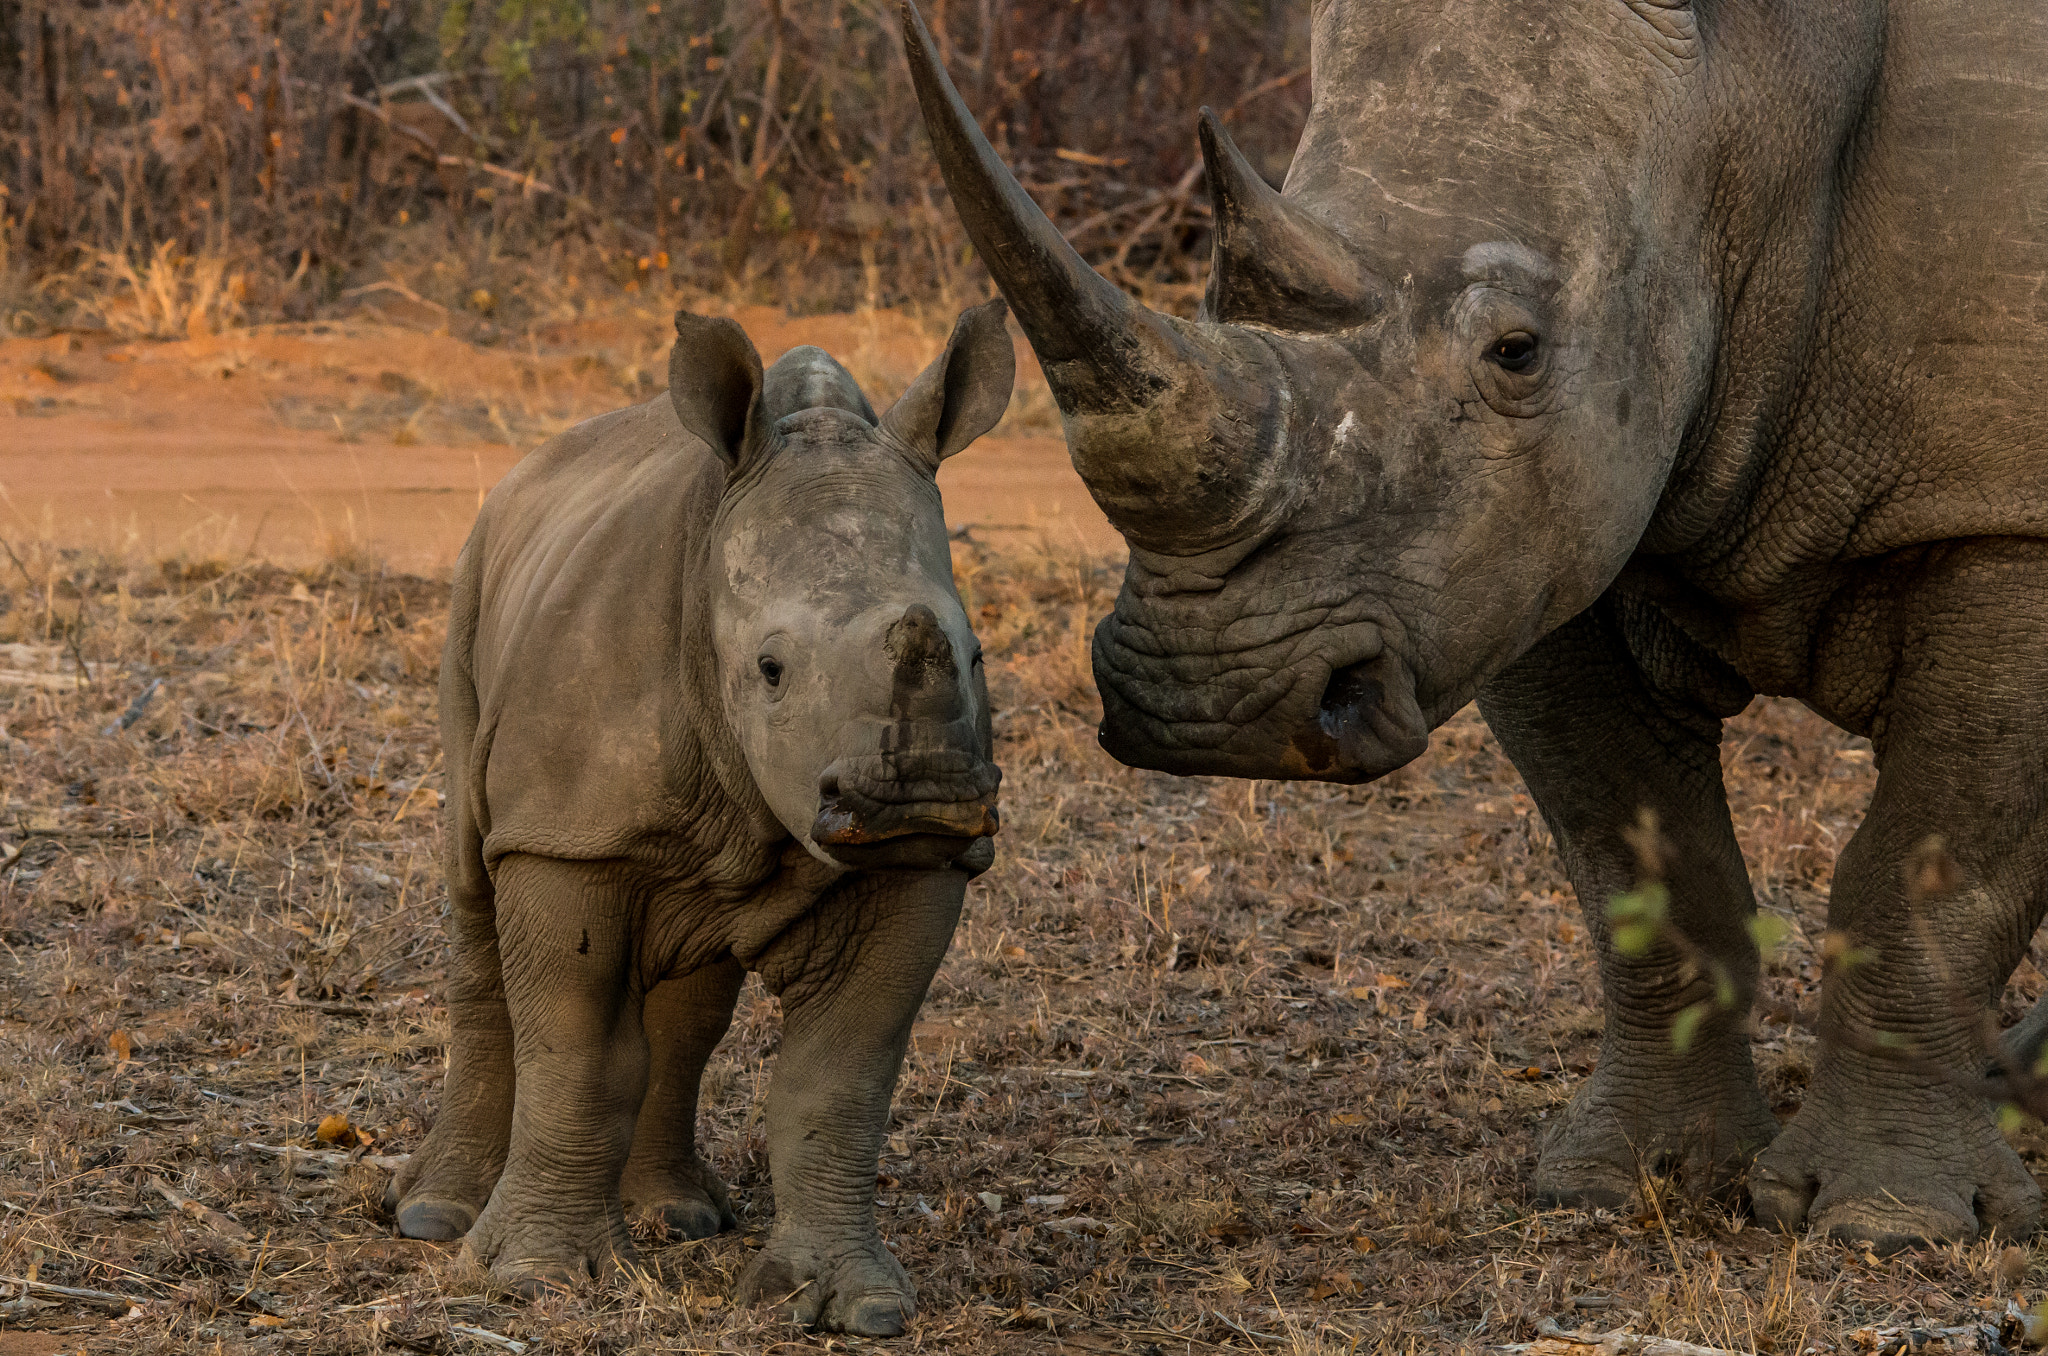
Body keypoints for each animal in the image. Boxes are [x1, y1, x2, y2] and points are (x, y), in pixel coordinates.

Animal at [385, 301, 1015, 1335]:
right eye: (770, 669)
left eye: (975, 656)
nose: (920, 794)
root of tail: (530, 466)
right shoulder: (566, 835)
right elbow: (577, 1050)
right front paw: (534, 1281)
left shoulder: (924, 865)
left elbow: (840, 1080)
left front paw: (853, 1305)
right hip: (471, 588)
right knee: (472, 888)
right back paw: (435, 1215)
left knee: (692, 997)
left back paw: (678, 1217)